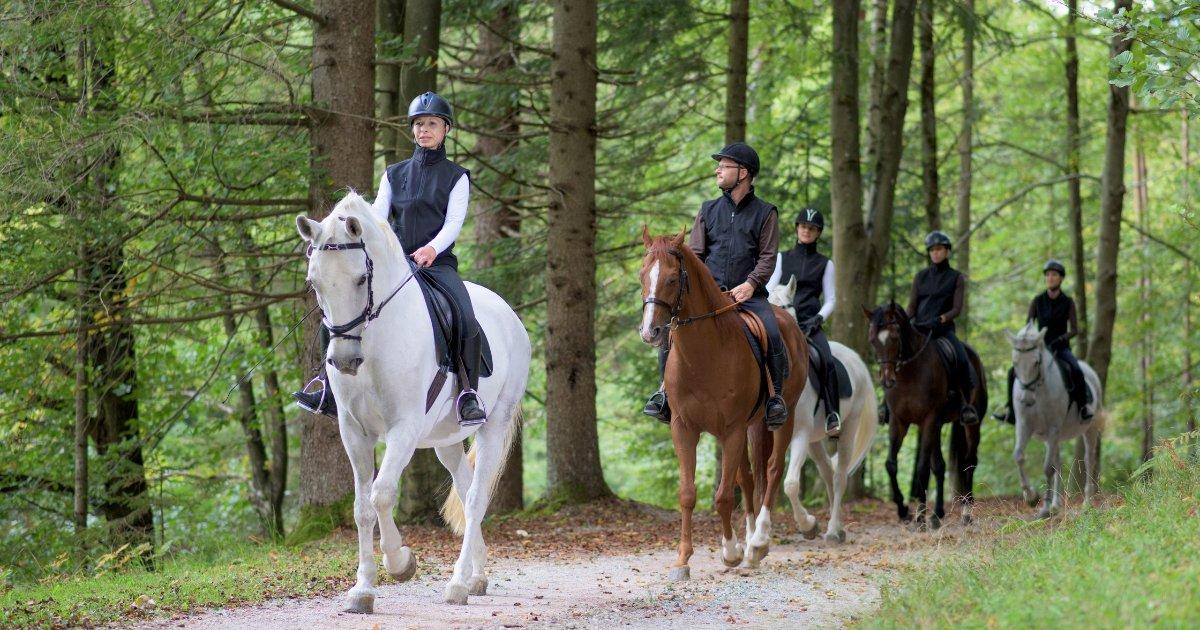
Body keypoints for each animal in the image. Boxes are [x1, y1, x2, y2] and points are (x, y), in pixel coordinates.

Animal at [296, 193, 531, 612]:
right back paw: (477, 577)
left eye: (361, 279)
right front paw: (362, 590)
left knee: (476, 497)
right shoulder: (353, 431)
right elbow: (361, 507)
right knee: (466, 487)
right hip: (445, 440)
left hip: (494, 424)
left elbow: (382, 494)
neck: (375, 340)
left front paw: (400, 561)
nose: (344, 361)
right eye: (314, 282)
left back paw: (457, 584)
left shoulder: (402, 429)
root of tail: (510, 315)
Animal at [638, 228, 807, 580]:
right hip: (751, 427)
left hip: (782, 418)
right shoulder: (684, 428)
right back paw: (750, 541)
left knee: (772, 470)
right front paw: (683, 560)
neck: (704, 353)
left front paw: (731, 552)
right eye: (642, 275)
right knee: (750, 476)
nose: (650, 332)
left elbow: (724, 496)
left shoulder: (731, 430)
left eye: (672, 279)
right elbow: (689, 494)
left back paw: (758, 542)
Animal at [768, 278, 878, 543]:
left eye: (785, 307)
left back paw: (832, 531)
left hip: (847, 429)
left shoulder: (799, 434)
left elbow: (790, 484)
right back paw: (837, 526)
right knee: (828, 472)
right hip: (814, 440)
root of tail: (856, 360)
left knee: (839, 477)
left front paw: (808, 525)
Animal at [863, 303, 983, 530]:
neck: (910, 372)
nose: (887, 380)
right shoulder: (899, 422)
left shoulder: (929, 419)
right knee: (940, 466)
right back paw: (937, 514)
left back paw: (966, 513)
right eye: (872, 339)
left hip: (971, 425)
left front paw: (919, 518)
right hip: (937, 426)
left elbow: (921, 468)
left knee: (969, 463)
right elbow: (891, 464)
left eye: (895, 337)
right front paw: (905, 511)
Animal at [1006, 322, 1105, 517]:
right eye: (1015, 362)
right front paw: (1031, 497)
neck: (1038, 391)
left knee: (1089, 459)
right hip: (1055, 436)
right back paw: (1056, 505)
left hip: (1088, 429)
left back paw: (1086, 503)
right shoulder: (1024, 426)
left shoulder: (1053, 428)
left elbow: (1047, 468)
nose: (1026, 400)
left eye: (1036, 362)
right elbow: (1019, 456)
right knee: (1058, 462)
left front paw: (1043, 508)